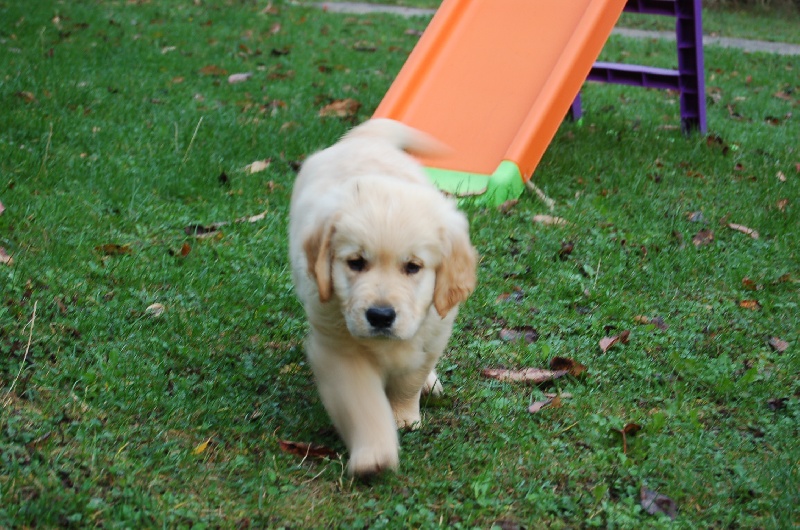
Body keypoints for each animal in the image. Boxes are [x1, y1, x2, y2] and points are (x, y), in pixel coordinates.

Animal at [288, 119, 477, 476]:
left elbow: (409, 380)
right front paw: (374, 453)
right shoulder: (338, 349)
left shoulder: (432, 332)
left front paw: (404, 416)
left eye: (413, 267)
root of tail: (366, 139)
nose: (380, 316)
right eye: (356, 263)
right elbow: (363, 403)